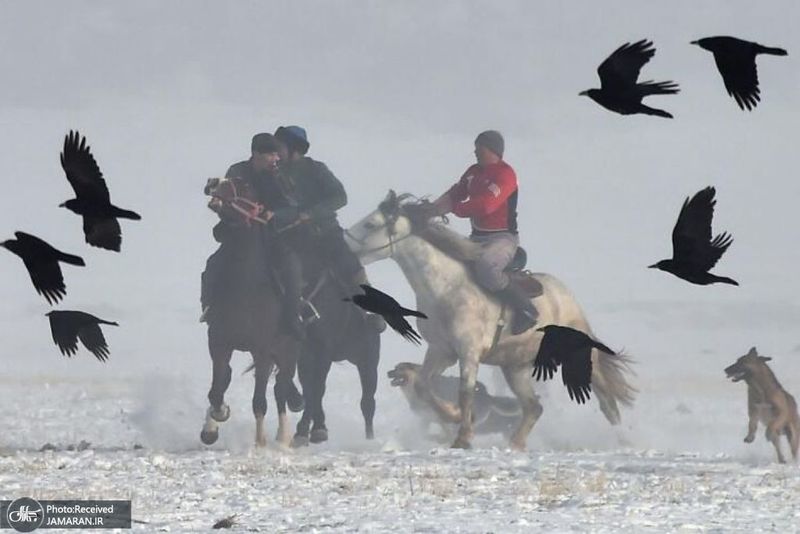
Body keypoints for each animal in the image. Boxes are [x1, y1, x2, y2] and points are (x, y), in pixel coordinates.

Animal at [290, 233, 382, 448]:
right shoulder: (304, 354)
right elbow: (310, 388)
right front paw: (310, 429)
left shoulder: (323, 351)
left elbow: (317, 388)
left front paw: (307, 431)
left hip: (367, 362)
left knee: (368, 403)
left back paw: (370, 438)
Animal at [346, 193, 636, 452]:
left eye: (371, 224)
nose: (346, 246)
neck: (446, 289)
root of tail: (565, 295)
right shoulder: (441, 351)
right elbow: (424, 385)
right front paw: (452, 416)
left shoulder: (469, 352)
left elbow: (465, 392)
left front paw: (462, 436)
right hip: (515, 367)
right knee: (534, 407)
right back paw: (516, 444)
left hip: (579, 357)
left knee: (607, 402)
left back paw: (623, 440)